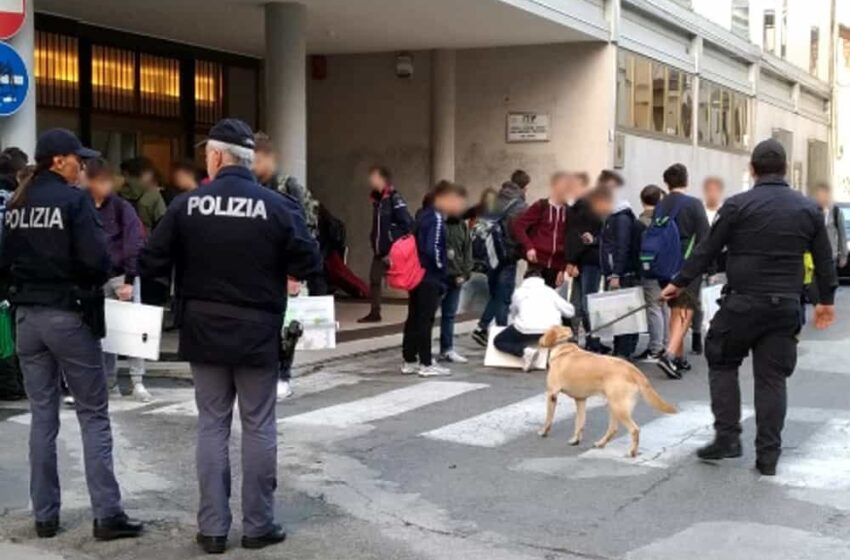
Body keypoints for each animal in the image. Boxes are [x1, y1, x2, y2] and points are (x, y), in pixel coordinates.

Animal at [540, 326, 672, 458]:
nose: (539, 341)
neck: (564, 347)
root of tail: (632, 370)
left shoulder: (552, 394)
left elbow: (548, 419)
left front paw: (543, 432)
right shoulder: (581, 400)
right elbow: (579, 423)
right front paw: (575, 440)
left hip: (619, 408)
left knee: (634, 429)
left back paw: (632, 451)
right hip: (615, 407)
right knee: (613, 429)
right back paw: (601, 443)